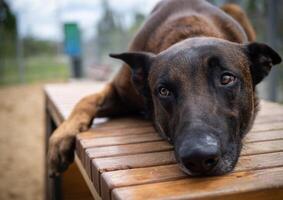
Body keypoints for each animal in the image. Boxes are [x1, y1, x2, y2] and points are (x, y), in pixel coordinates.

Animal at [48, 0, 282, 176]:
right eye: (164, 91)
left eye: (226, 79)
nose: (198, 157)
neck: (189, 33)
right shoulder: (120, 92)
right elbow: (85, 99)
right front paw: (60, 137)